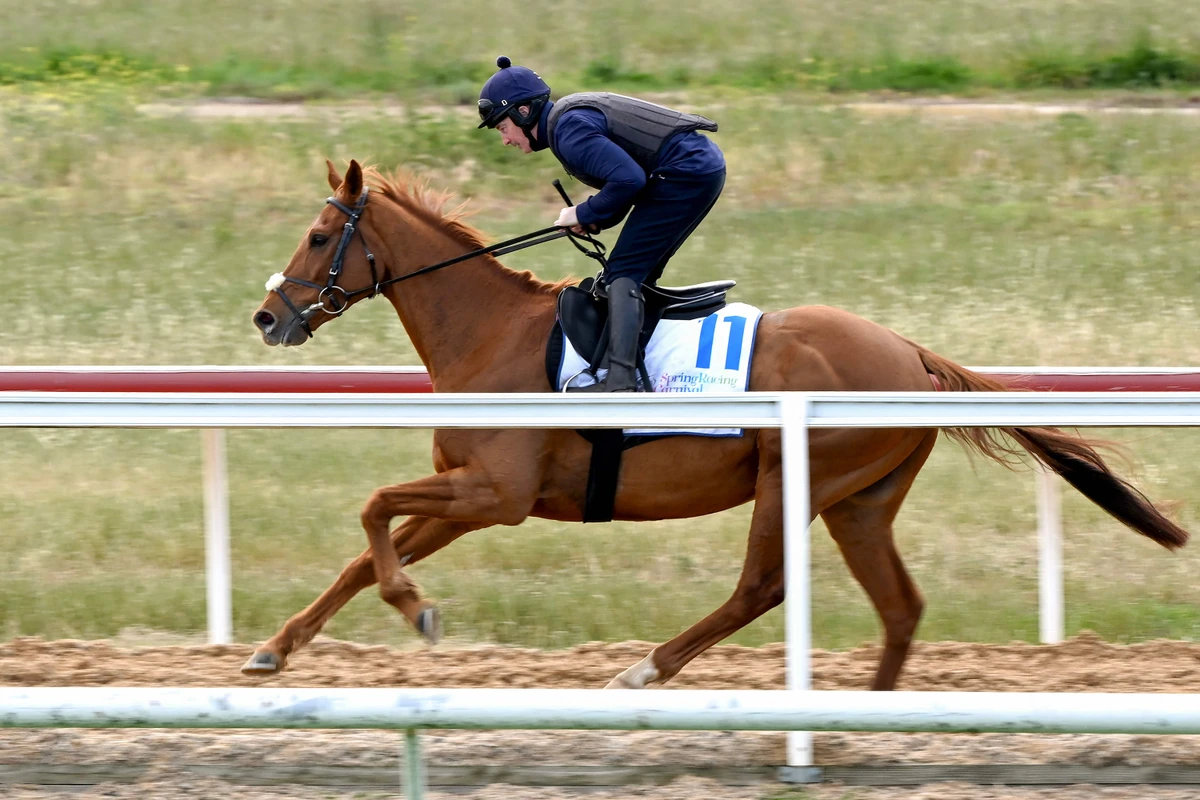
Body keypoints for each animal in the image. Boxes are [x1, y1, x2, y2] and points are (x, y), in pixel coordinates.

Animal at [246, 159, 1189, 690]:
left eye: (319, 234)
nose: (266, 317)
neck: (491, 331)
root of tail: (911, 352)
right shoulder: (467, 496)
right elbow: (361, 555)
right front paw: (275, 649)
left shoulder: (496, 494)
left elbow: (372, 510)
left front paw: (416, 608)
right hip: (861, 500)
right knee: (900, 608)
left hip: (794, 478)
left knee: (760, 589)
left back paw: (644, 669)